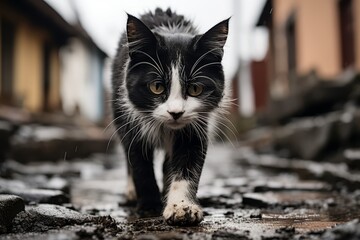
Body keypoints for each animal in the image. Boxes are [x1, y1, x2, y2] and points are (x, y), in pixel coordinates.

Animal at [111, 7, 229, 225]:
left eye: (195, 89)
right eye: (156, 87)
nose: (176, 112)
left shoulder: (197, 126)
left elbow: (188, 164)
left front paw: (182, 207)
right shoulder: (129, 119)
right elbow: (139, 163)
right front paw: (149, 205)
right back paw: (132, 192)